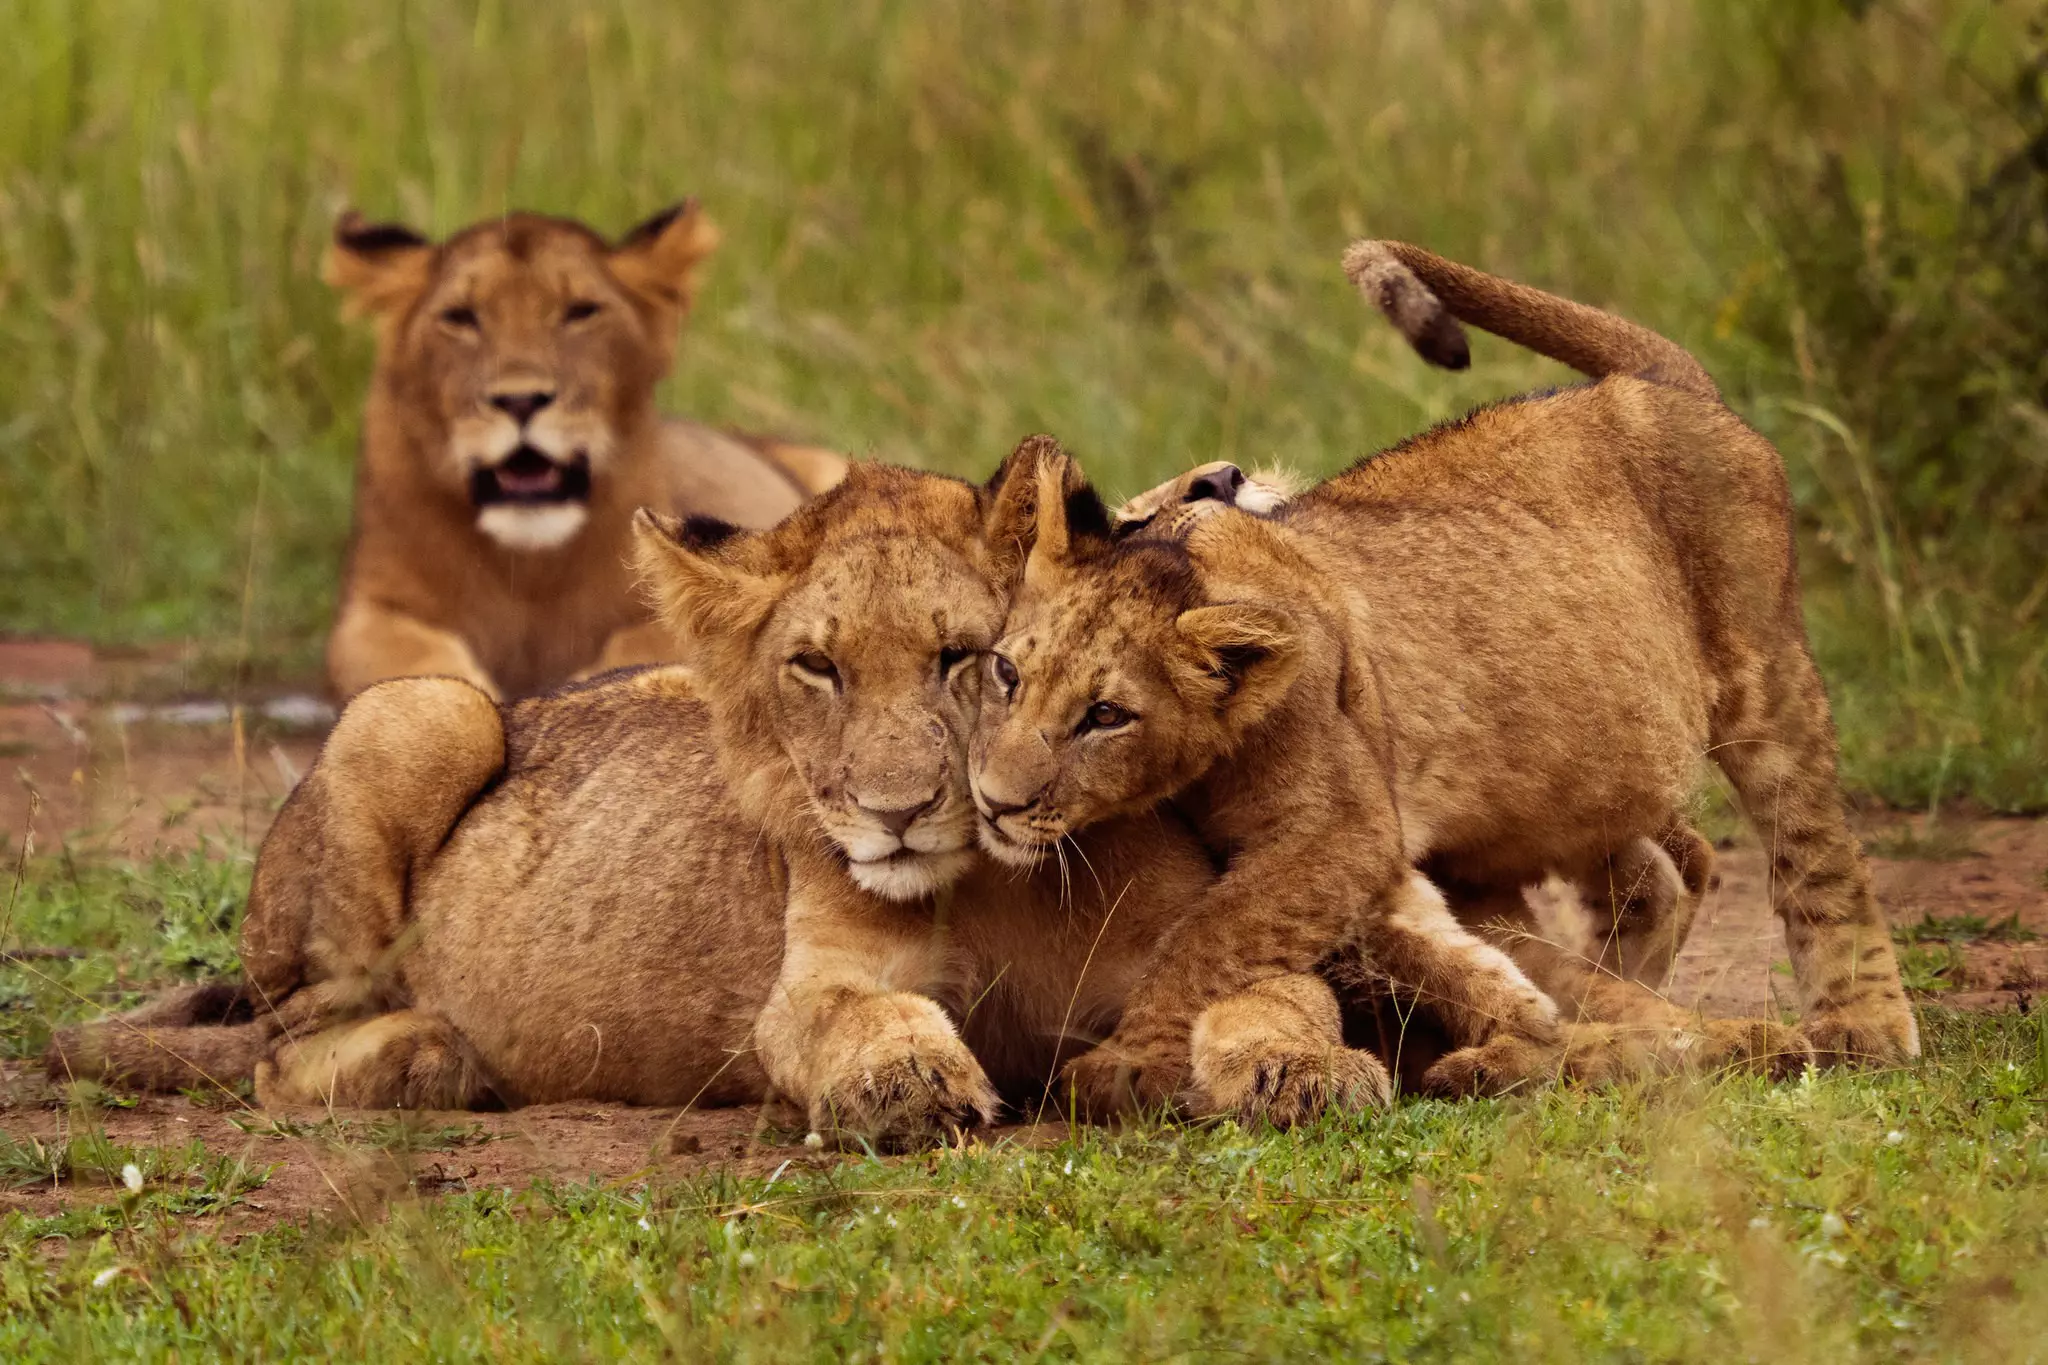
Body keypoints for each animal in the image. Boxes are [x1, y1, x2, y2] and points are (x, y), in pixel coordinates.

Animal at [48, 457, 1390, 1146]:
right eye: (816, 668)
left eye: (962, 658)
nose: (895, 813)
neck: (1001, 882)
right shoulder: (809, 991)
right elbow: (861, 1020)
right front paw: (908, 1088)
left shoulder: (1201, 943)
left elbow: (1267, 995)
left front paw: (1303, 1074)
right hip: (423, 705)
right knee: (278, 1054)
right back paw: (434, 1052)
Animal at [322, 202, 848, 701]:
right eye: (461, 317)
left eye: (581, 311)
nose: (520, 400)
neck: (528, 570)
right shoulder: (369, 609)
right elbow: (403, 657)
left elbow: (646, 643)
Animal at [966, 241, 1916, 1109]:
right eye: (1004, 675)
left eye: (1105, 715)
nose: (1223, 475)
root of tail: (1654, 382)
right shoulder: (1386, 864)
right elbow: (1453, 957)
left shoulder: (1342, 832)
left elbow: (1209, 937)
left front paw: (1128, 1059)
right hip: (1580, 768)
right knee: (1662, 867)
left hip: (1765, 675)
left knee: (1816, 855)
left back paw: (1861, 1025)